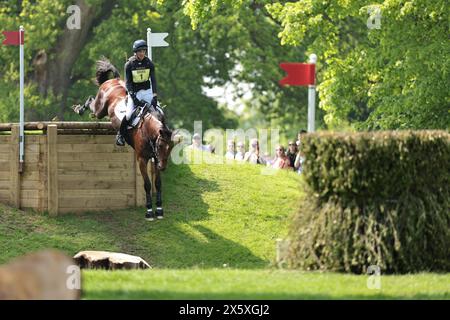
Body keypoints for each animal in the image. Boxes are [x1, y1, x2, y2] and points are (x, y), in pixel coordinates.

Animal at [72, 56, 174, 220]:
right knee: (92, 103)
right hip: (100, 109)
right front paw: (149, 211)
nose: (163, 167)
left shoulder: (155, 158)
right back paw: (79, 109)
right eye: (160, 146)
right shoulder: (142, 159)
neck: (148, 130)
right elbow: (147, 184)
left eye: (170, 147)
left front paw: (159, 210)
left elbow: (158, 183)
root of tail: (113, 80)